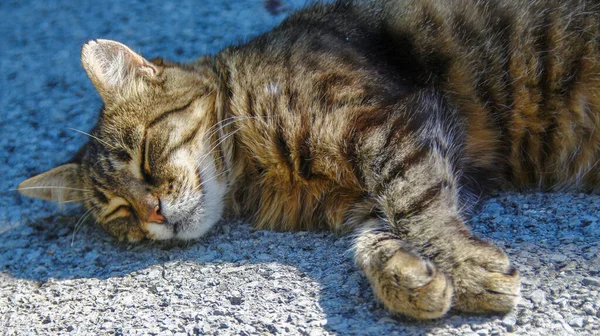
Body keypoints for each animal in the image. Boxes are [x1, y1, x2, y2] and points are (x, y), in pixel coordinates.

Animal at [16, 0, 600, 320]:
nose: (153, 213)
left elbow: (418, 204)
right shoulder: (375, 184)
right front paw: (407, 276)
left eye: (143, 156)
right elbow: (380, 232)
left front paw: (467, 269)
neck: (256, 175)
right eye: (119, 213)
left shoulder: (385, 124)